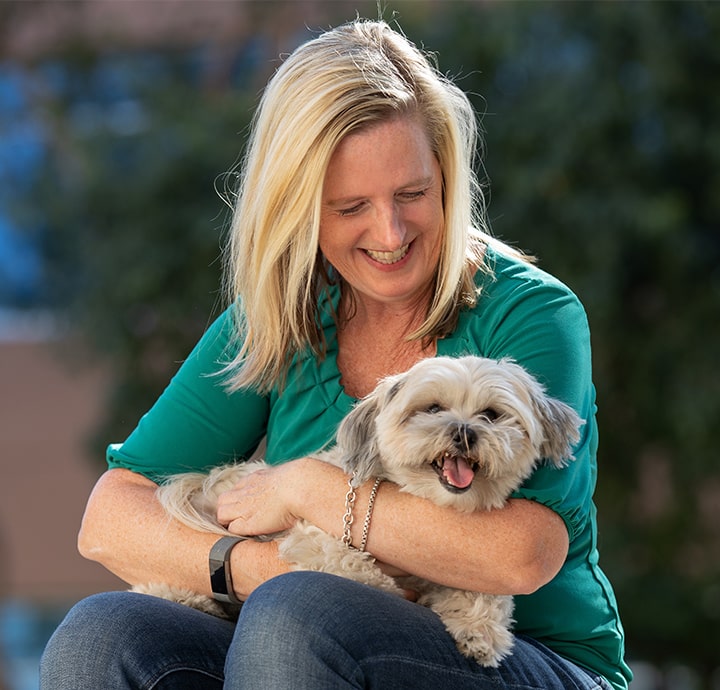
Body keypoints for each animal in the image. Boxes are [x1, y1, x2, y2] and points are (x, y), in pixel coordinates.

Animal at [136, 352, 584, 664]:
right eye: (433, 409)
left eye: (491, 414)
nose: (463, 432)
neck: (427, 501)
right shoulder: (314, 537)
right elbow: (356, 567)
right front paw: (386, 591)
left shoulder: (466, 567)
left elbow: (484, 592)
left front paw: (480, 632)